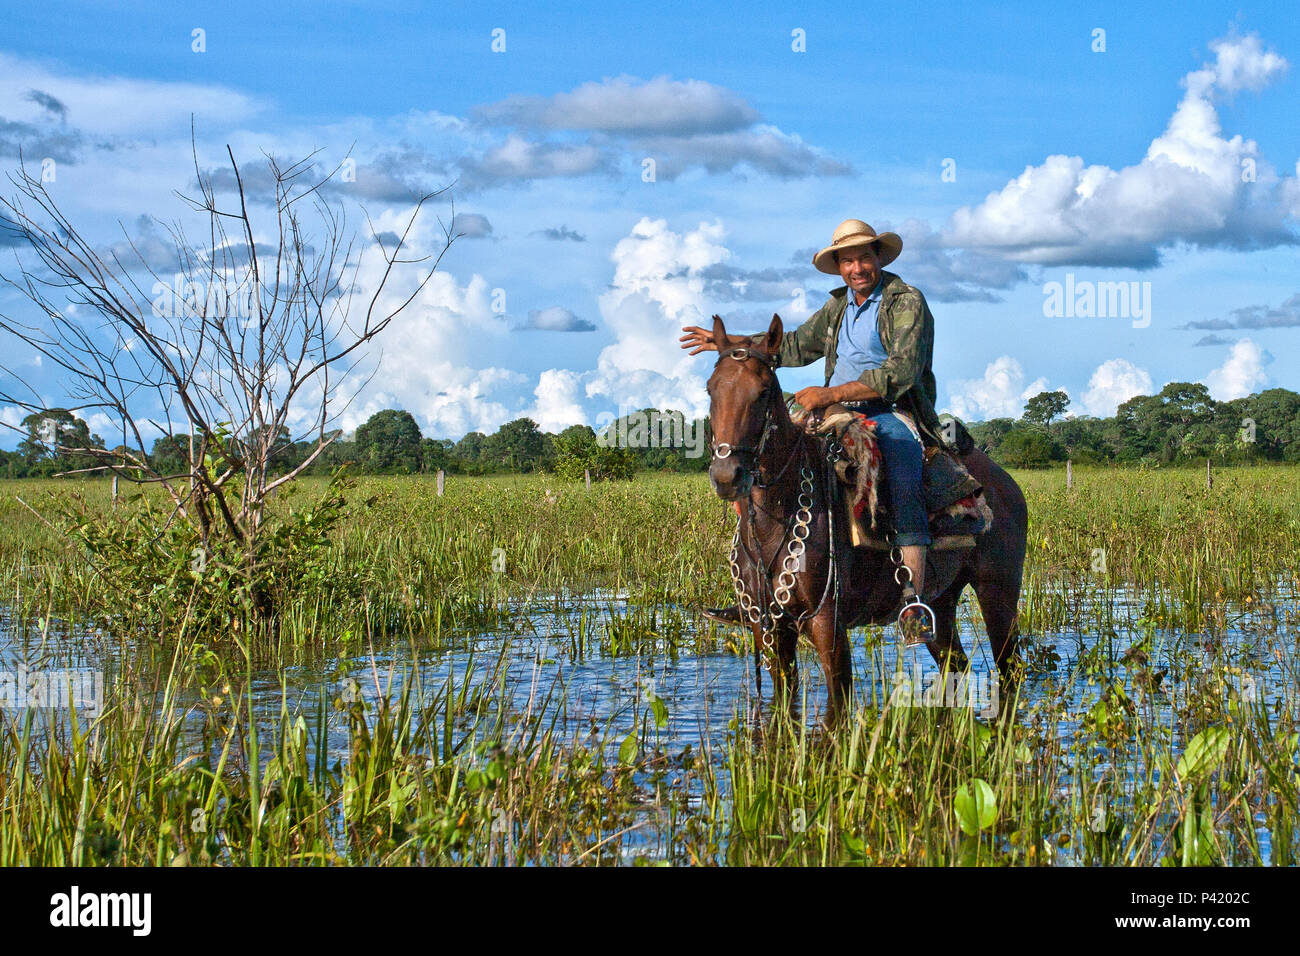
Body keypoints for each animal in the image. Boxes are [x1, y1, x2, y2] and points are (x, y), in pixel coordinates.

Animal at [707, 317, 1029, 723]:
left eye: (764, 391)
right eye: (711, 389)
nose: (727, 475)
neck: (775, 521)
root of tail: (1003, 481)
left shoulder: (828, 625)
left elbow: (837, 704)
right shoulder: (769, 629)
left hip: (997, 592)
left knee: (1010, 669)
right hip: (941, 602)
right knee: (955, 666)